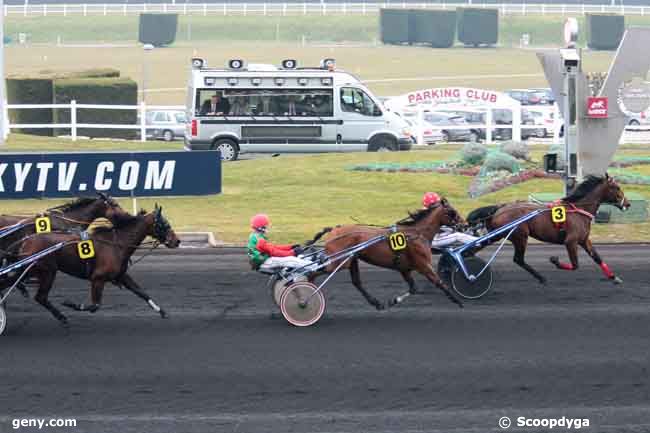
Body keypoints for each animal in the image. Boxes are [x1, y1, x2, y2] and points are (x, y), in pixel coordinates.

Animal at [15, 205, 182, 324]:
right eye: (164, 224)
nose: (177, 241)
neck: (117, 244)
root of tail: (26, 240)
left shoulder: (121, 275)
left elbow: (142, 292)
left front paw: (162, 311)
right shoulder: (98, 278)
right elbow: (95, 306)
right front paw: (71, 304)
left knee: (38, 295)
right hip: (47, 271)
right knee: (39, 295)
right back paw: (60, 315)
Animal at [308, 199, 466, 310]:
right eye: (452, 211)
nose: (464, 225)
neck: (417, 234)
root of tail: (333, 230)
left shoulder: (404, 268)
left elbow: (414, 288)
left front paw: (392, 301)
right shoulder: (423, 265)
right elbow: (439, 282)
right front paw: (458, 301)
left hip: (351, 260)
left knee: (357, 282)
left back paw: (376, 303)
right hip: (338, 262)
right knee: (312, 272)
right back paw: (307, 296)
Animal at [466, 174, 628, 286]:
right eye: (617, 188)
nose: (628, 204)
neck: (579, 210)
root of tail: (499, 209)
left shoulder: (583, 240)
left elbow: (597, 258)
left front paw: (614, 277)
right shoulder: (571, 241)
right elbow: (575, 265)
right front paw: (555, 260)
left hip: (497, 235)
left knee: (475, 248)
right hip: (520, 236)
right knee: (518, 259)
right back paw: (541, 277)